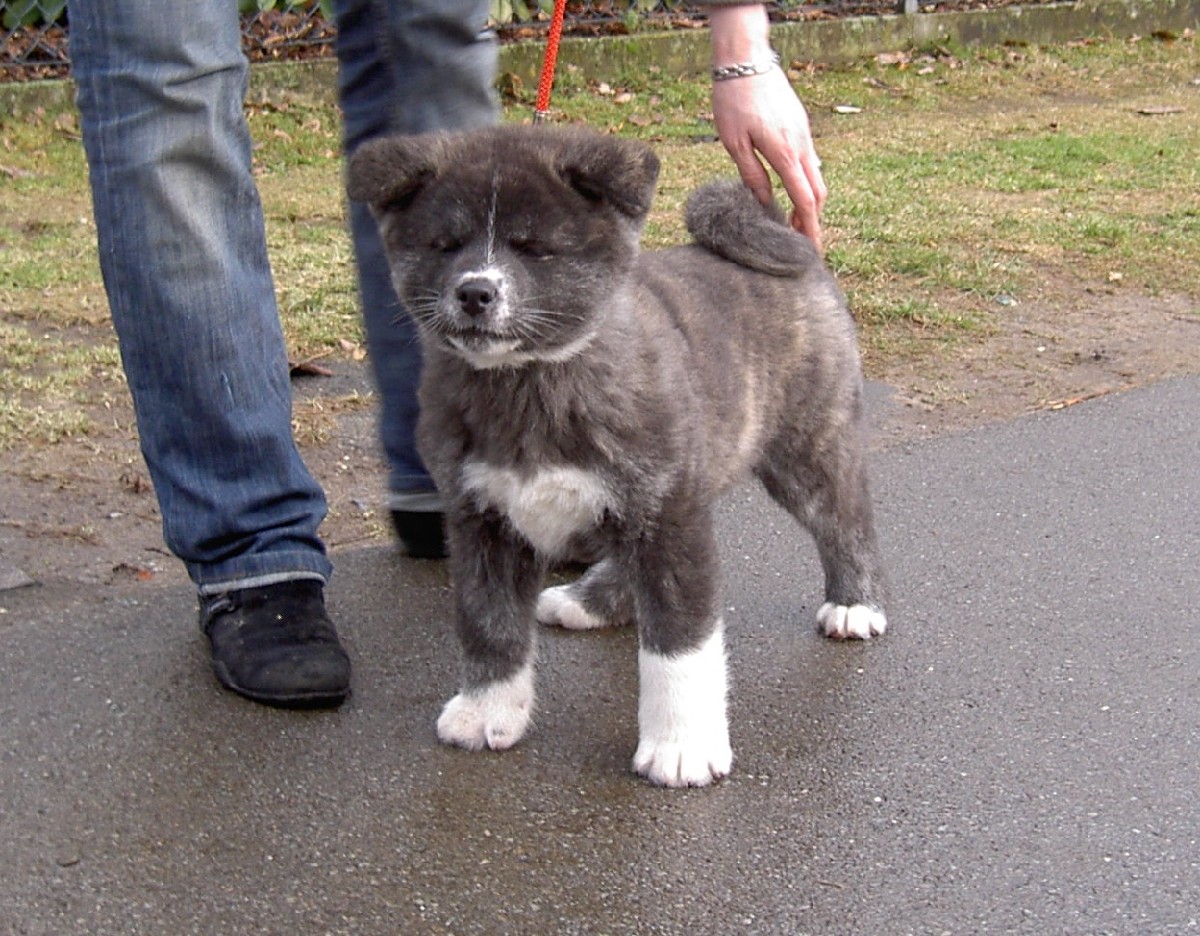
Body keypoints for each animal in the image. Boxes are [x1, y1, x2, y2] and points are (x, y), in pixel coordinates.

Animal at [347, 125, 887, 787]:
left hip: (804, 448)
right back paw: (589, 601)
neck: (531, 382)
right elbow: (488, 623)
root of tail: (780, 232)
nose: (475, 291)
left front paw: (681, 745)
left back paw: (854, 603)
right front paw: (488, 709)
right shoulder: (482, 520)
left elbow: (679, 644)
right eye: (444, 245)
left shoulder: (668, 512)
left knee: (845, 519)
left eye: (534, 249)